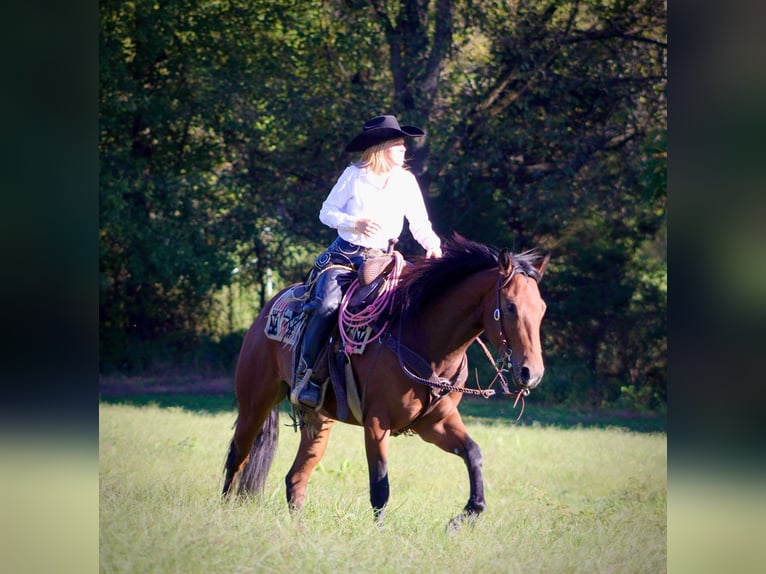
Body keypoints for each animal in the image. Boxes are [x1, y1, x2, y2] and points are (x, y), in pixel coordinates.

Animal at [222, 234, 549, 528]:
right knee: (237, 457)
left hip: (319, 421)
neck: (423, 338)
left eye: (542, 308)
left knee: (295, 478)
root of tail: (267, 311)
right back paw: (224, 512)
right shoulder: (377, 423)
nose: (531, 373)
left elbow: (473, 454)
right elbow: (380, 485)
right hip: (255, 402)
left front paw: (465, 516)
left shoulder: (435, 423)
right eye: (510, 306)